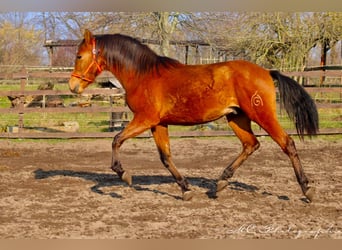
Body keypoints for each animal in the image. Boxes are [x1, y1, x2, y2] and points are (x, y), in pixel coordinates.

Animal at [69, 29, 318, 201]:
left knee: (287, 143)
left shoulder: (144, 119)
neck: (143, 75)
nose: (73, 86)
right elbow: (165, 157)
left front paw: (123, 174)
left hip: (262, 114)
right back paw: (220, 183)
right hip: (236, 118)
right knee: (251, 144)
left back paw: (307, 189)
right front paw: (185, 189)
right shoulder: (158, 124)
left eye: (79, 56)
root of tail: (267, 72)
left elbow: (116, 140)